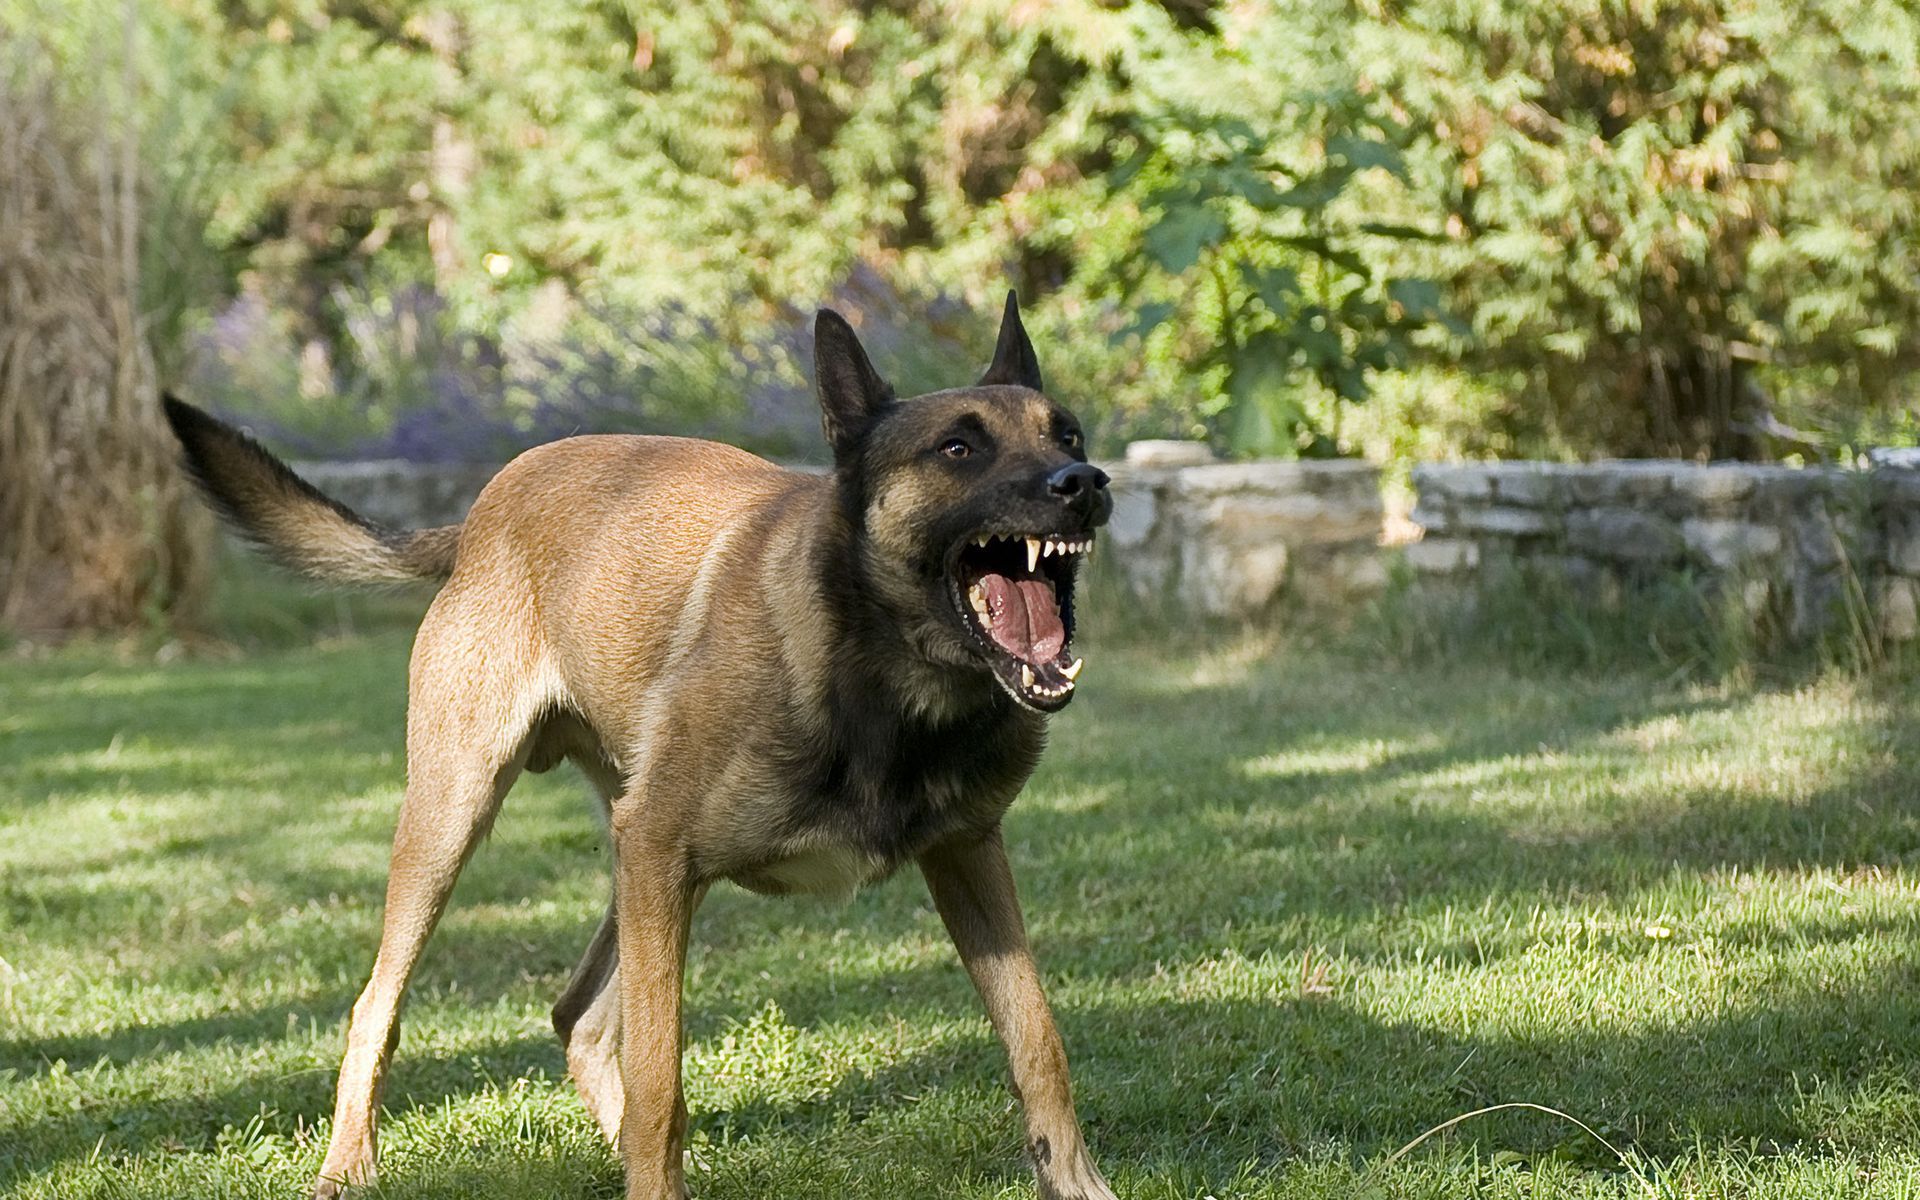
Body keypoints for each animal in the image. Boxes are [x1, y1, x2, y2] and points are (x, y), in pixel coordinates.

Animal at [167, 291, 1121, 1198]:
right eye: (958, 449)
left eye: (1066, 432)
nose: (1084, 482)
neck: (882, 678)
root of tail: (479, 514)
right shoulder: (663, 853)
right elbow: (662, 1080)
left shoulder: (966, 855)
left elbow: (1039, 1038)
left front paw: (1077, 1184)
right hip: (461, 821)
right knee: (381, 1004)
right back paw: (348, 1165)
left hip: (633, 865)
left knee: (577, 1015)